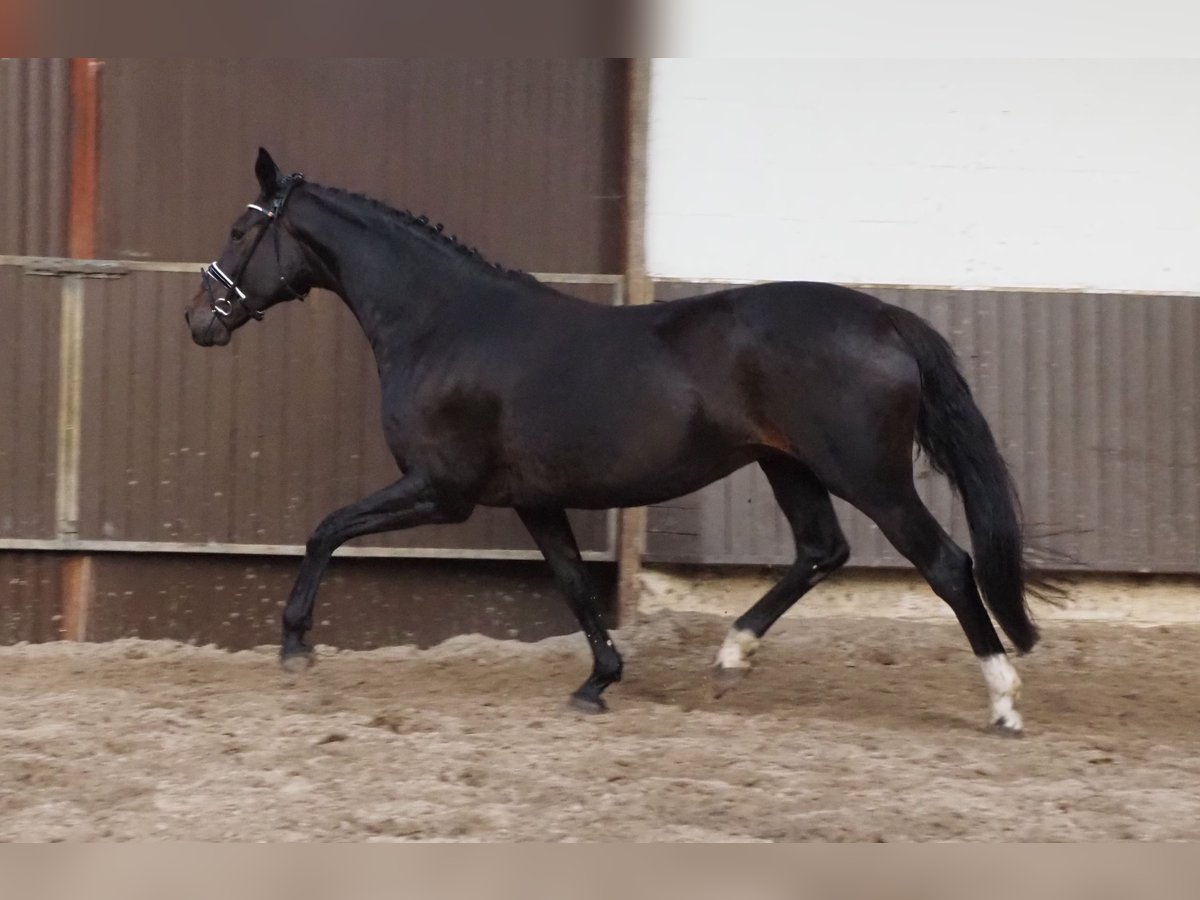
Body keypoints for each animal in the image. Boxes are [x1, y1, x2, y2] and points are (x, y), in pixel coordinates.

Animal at [182, 151, 1036, 734]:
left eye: (240, 228)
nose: (198, 320)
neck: (444, 324)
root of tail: (888, 318)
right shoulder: (533, 502)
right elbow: (575, 585)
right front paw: (598, 683)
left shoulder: (441, 491)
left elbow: (325, 529)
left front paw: (295, 645)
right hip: (788, 465)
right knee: (821, 552)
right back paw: (730, 659)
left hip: (868, 475)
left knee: (946, 564)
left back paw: (1003, 705)